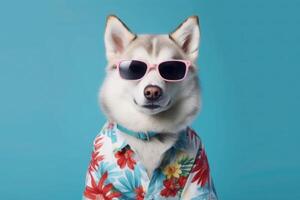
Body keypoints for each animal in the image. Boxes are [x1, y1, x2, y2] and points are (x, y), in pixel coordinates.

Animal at [83, 14, 217, 199]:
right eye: (134, 69)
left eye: (171, 70)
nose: (152, 92)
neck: (148, 133)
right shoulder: (102, 179)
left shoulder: (198, 170)